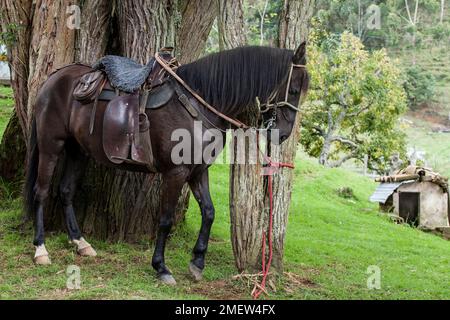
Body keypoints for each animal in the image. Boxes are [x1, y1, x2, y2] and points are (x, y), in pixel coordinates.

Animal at [24, 43, 310, 284]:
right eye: (294, 90)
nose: (282, 134)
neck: (197, 106)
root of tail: (53, 78)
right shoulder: (176, 173)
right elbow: (165, 219)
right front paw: (161, 267)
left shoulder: (198, 171)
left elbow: (209, 212)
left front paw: (197, 263)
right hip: (51, 146)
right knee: (41, 192)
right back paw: (40, 248)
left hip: (77, 151)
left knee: (66, 191)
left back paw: (80, 242)